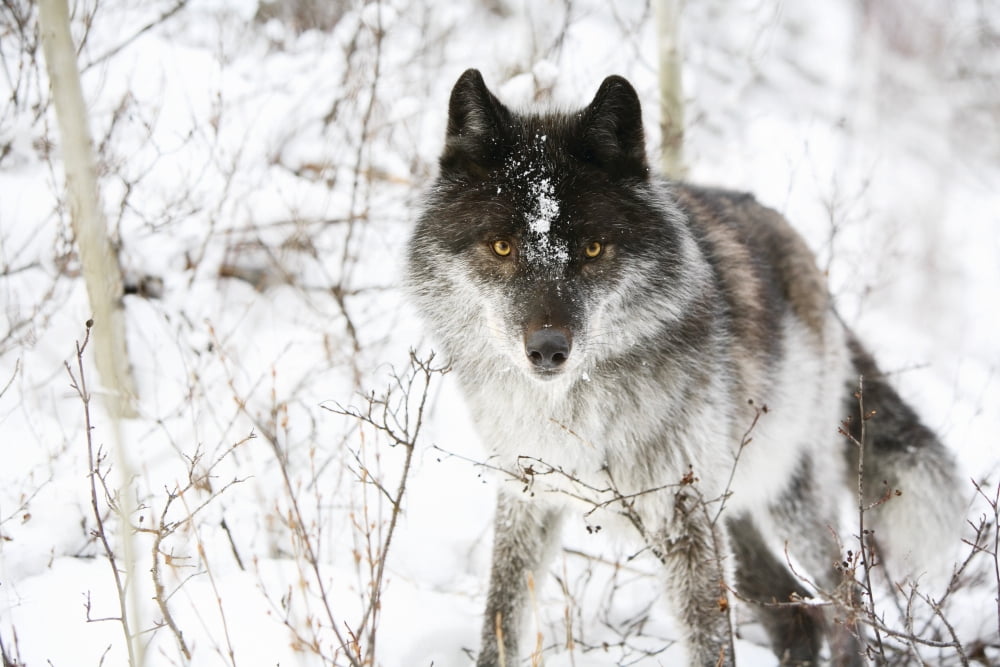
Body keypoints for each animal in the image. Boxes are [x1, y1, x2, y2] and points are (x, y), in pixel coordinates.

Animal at [406, 69, 963, 666]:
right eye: (502, 247)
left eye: (593, 250)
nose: (549, 349)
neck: (579, 409)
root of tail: (802, 252)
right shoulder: (526, 500)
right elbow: (500, 624)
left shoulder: (685, 518)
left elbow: (711, 642)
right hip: (735, 507)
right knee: (793, 613)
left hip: (791, 498)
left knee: (844, 599)